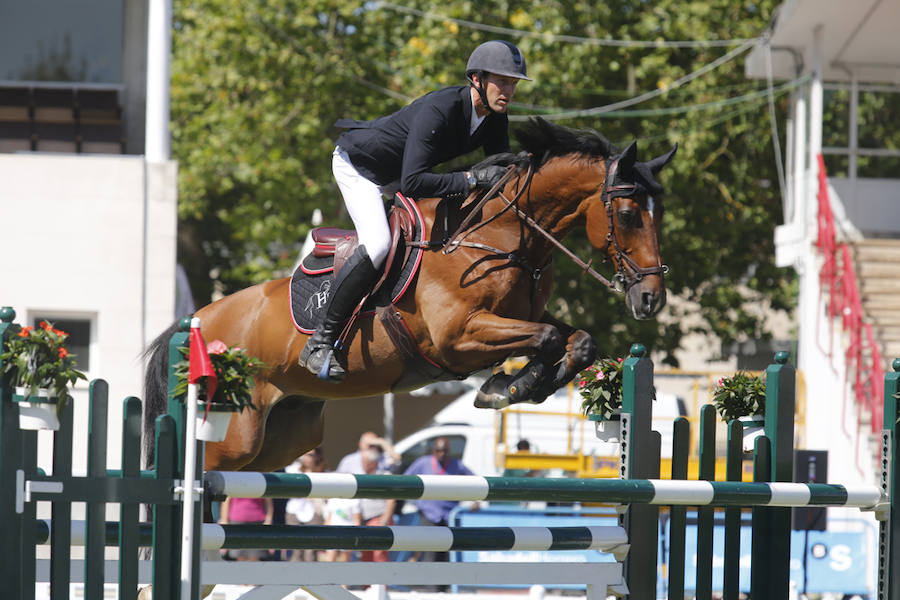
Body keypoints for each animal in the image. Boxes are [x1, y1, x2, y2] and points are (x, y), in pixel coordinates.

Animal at [142, 117, 676, 474]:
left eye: (659, 213)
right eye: (629, 214)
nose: (651, 299)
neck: (501, 239)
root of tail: (196, 323)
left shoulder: (518, 317)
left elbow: (577, 340)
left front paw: (514, 386)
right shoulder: (458, 338)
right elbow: (544, 337)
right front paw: (509, 386)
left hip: (282, 437)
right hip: (232, 437)